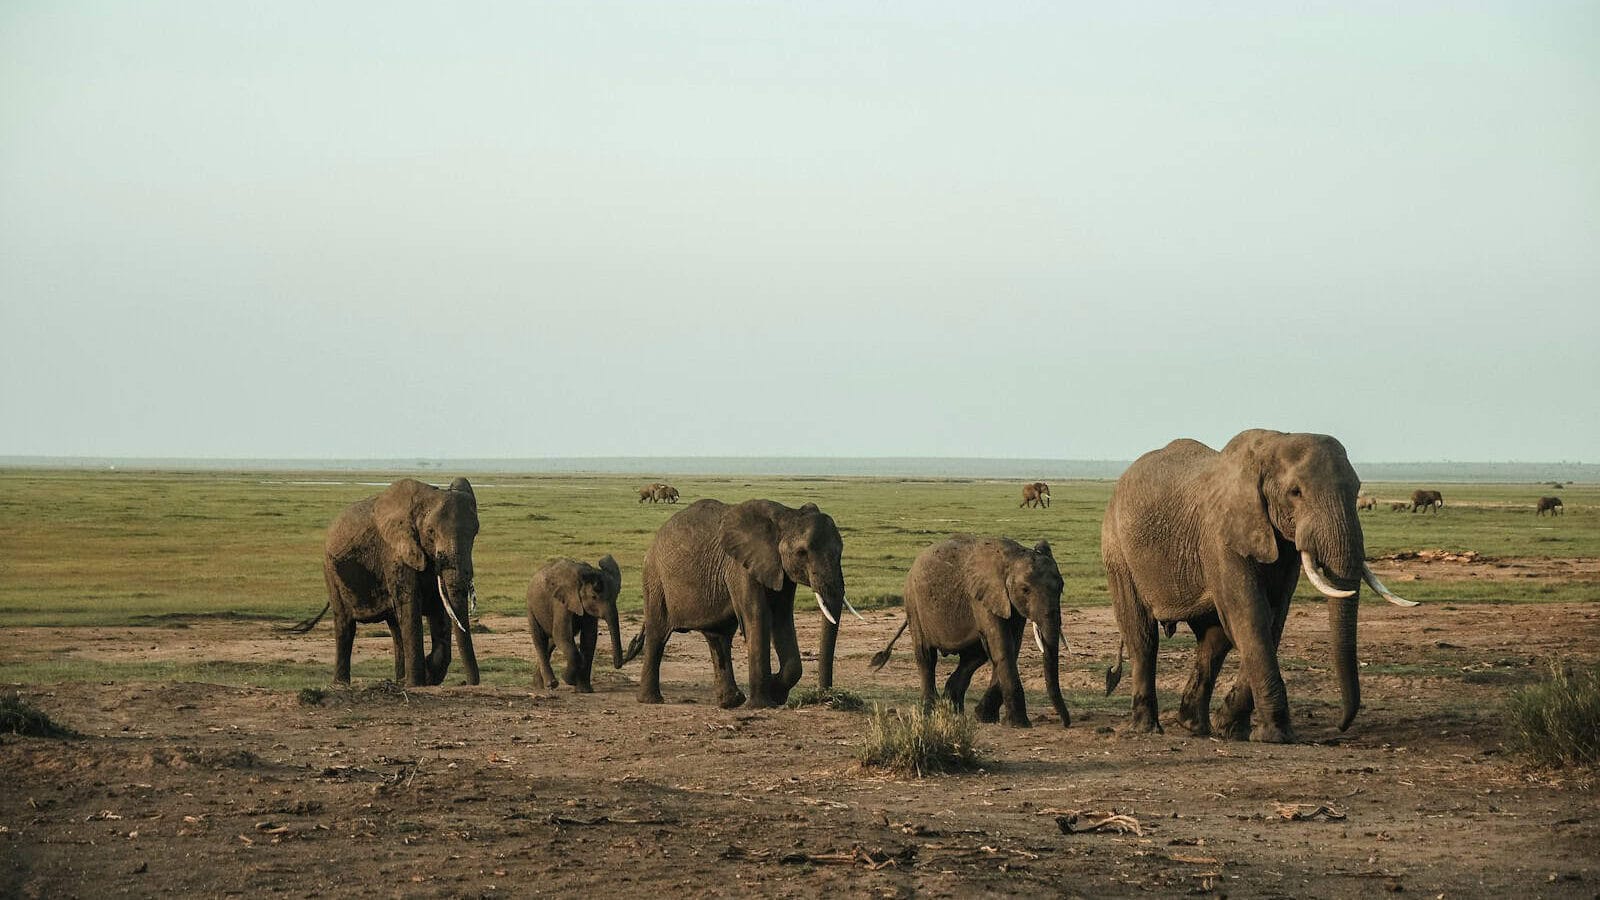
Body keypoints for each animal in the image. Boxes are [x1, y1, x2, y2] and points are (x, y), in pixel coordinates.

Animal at [290, 477, 481, 687]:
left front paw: (426, 674)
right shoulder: (394, 553)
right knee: (345, 625)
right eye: (430, 532)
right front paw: (416, 683)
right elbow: (411, 606)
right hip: (330, 571)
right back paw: (341, 684)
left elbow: (439, 608)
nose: (470, 683)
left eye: (475, 532)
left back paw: (399, 680)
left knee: (396, 628)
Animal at [525, 555, 625, 692]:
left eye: (616, 596)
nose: (617, 665)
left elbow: (589, 638)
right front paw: (568, 680)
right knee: (540, 639)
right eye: (594, 597)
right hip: (532, 607)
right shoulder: (561, 602)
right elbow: (562, 635)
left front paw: (585, 691)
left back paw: (539, 685)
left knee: (552, 641)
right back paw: (551, 684)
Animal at [624, 498, 859, 708]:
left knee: (718, 637)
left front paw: (775, 691)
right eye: (802, 552)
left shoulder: (779, 569)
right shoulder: (740, 566)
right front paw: (763, 704)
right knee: (658, 634)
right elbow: (758, 615)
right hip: (655, 580)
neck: (786, 515)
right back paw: (651, 700)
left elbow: (782, 617)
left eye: (840, 550)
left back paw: (731, 703)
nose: (827, 696)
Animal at [870, 535, 1069, 729]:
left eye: (1061, 587)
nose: (1066, 724)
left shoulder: (1009, 602)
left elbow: (1011, 646)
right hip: (913, 603)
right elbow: (1002, 647)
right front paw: (1018, 724)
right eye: (1025, 590)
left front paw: (985, 717)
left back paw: (952, 710)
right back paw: (930, 711)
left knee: (973, 658)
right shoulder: (983, 598)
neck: (1013, 557)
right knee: (926, 656)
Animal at [1101, 430, 1416, 743]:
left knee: (1213, 641)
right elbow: (1251, 616)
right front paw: (1276, 735)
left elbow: (1272, 620)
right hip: (1117, 550)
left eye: (1356, 490)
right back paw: (1146, 728)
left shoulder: (1282, 547)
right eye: (1296, 492)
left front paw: (1231, 728)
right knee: (1143, 636)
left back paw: (1193, 726)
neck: (1272, 446)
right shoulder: (1221, 536)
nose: (1340, 726)